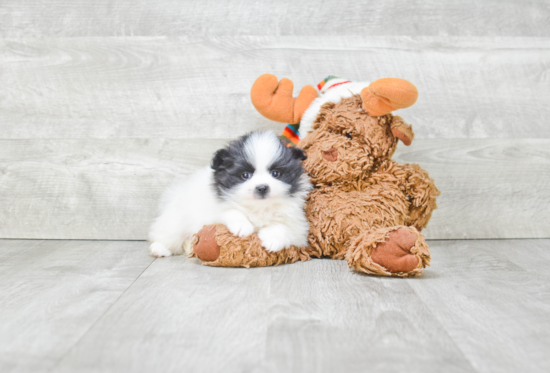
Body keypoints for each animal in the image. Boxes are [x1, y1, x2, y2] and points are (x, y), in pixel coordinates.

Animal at [149, 130, 312, 256]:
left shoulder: (297, 225)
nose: (262, 187)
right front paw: (242, 226)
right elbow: (231, 211)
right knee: (167, 235)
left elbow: (284, 228)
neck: (259, 207)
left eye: (276, 173)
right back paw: (159, 248)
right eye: (245, 175)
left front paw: (273, 240)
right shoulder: (213, 210)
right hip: (176, 221)